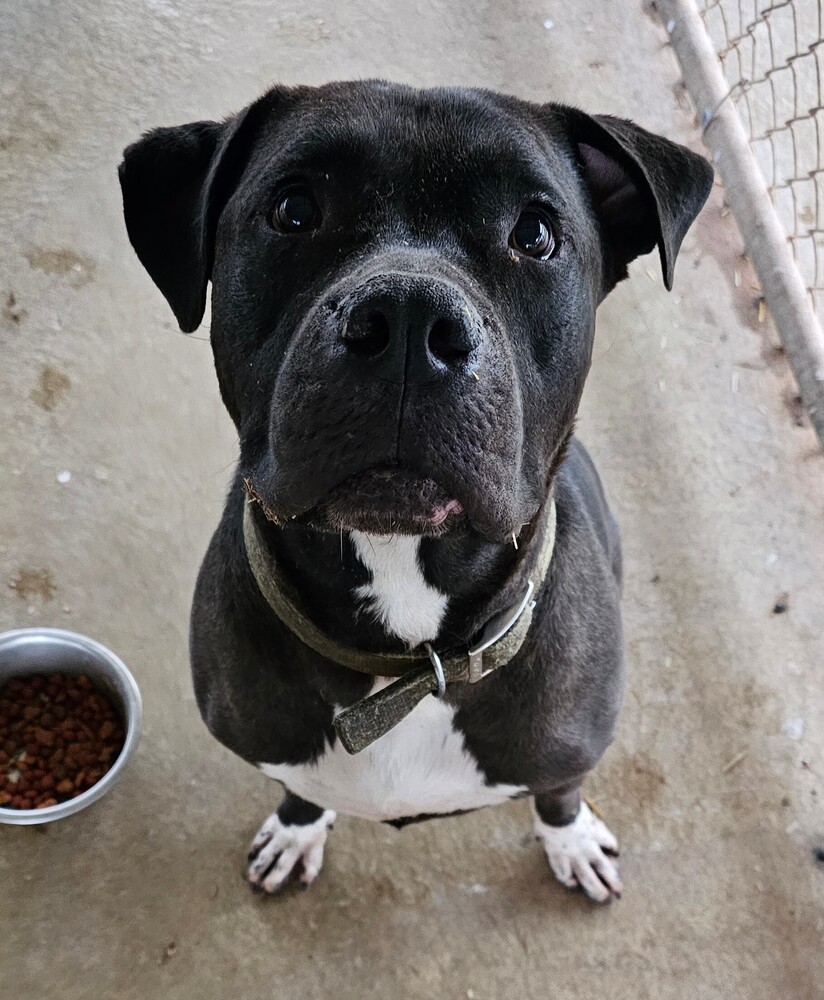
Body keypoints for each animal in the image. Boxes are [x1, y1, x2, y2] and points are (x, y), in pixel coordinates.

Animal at [119, 82, 712, 904]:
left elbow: (559, 791)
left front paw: (571, 839)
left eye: (535, 233)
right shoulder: (278, 746)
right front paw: (298, 828)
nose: (407, 315)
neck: (408, 659)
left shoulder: (563, 751)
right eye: (293, 210)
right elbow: (301, 786)